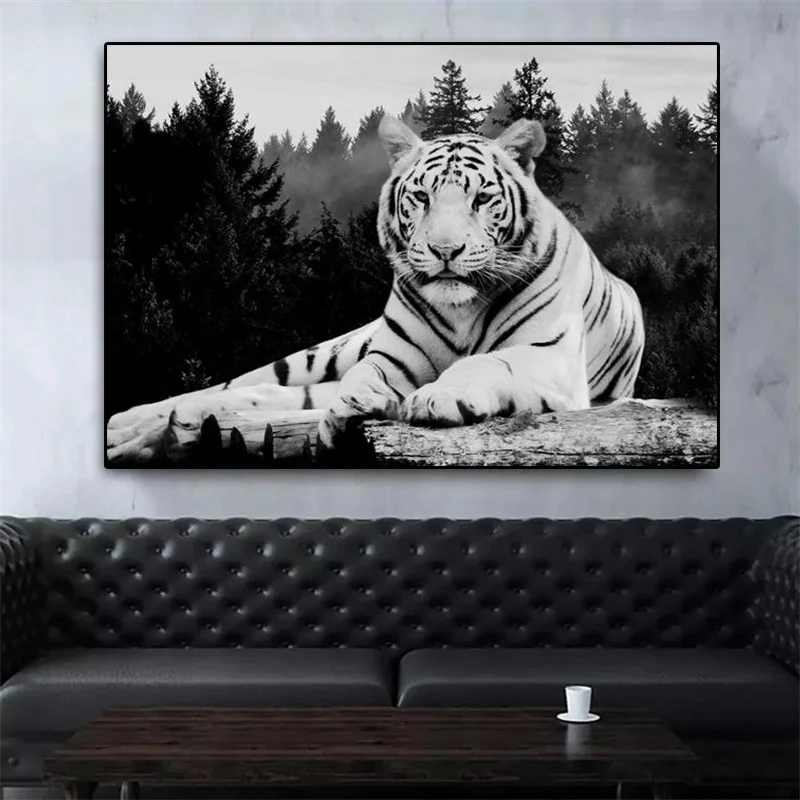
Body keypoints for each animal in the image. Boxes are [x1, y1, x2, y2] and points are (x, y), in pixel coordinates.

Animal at [106, 114, 645, 464]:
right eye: (422, 197)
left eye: (481, 199)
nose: (445, 250)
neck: (463, 309)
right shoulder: (391, 358)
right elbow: (363, 378)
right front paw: (353, 410)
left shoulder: (549, 357)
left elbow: (488, 362)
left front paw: (436, 398)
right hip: (324, 353)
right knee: (242, 386)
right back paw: (128, 427)